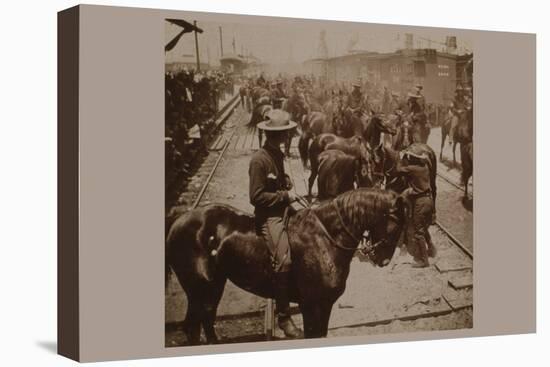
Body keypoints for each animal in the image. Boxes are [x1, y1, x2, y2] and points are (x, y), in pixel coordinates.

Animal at [168, 188, 410, 344]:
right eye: (397, 222)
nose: (383, 260)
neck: (324, 238)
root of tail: (178, 222)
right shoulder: (310, 305)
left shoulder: (326, 304)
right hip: (200, 288)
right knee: (196, 323)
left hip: (213, 286)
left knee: (204, 319)